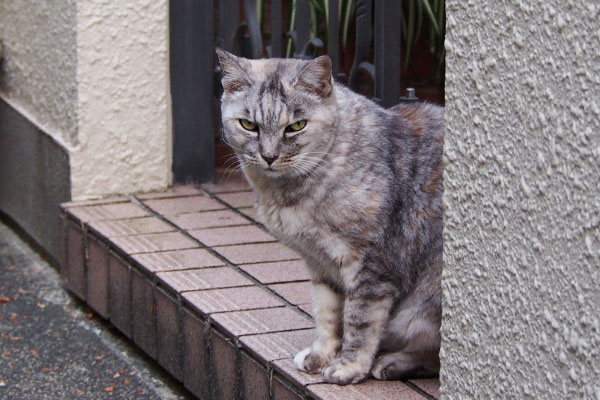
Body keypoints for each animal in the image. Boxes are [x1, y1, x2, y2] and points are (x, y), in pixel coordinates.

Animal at [218, 49, 442, 384]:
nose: (269, 156)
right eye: (248, 124)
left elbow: (359, 320)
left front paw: (348, 366)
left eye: (296, 126)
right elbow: (327, 314)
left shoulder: (372, 266)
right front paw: (321, 355)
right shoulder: (320, 262)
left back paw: (392, 362)